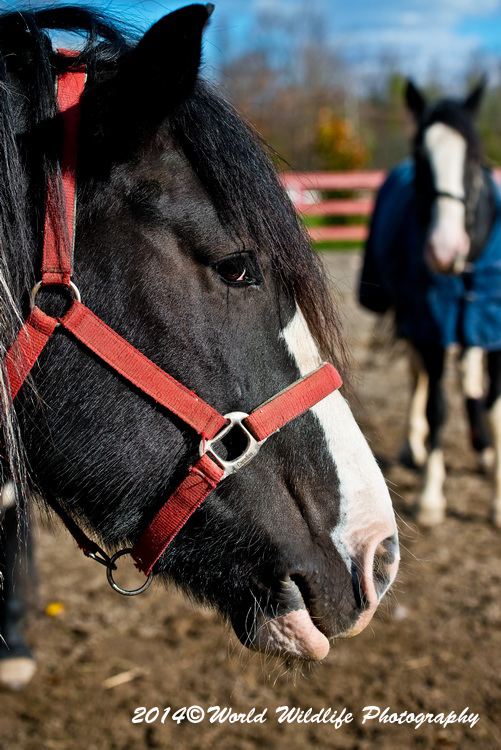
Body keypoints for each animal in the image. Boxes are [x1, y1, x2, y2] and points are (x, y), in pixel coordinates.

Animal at [359, 78, 501, 528]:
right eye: (421, 160)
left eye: (474, 157)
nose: (443, 250)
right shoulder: (429, 326)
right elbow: (437, 404)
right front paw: (431, 497)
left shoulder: (492, 330)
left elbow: (495, 406)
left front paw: (497, 499)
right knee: (417, 375)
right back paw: (415, 445)